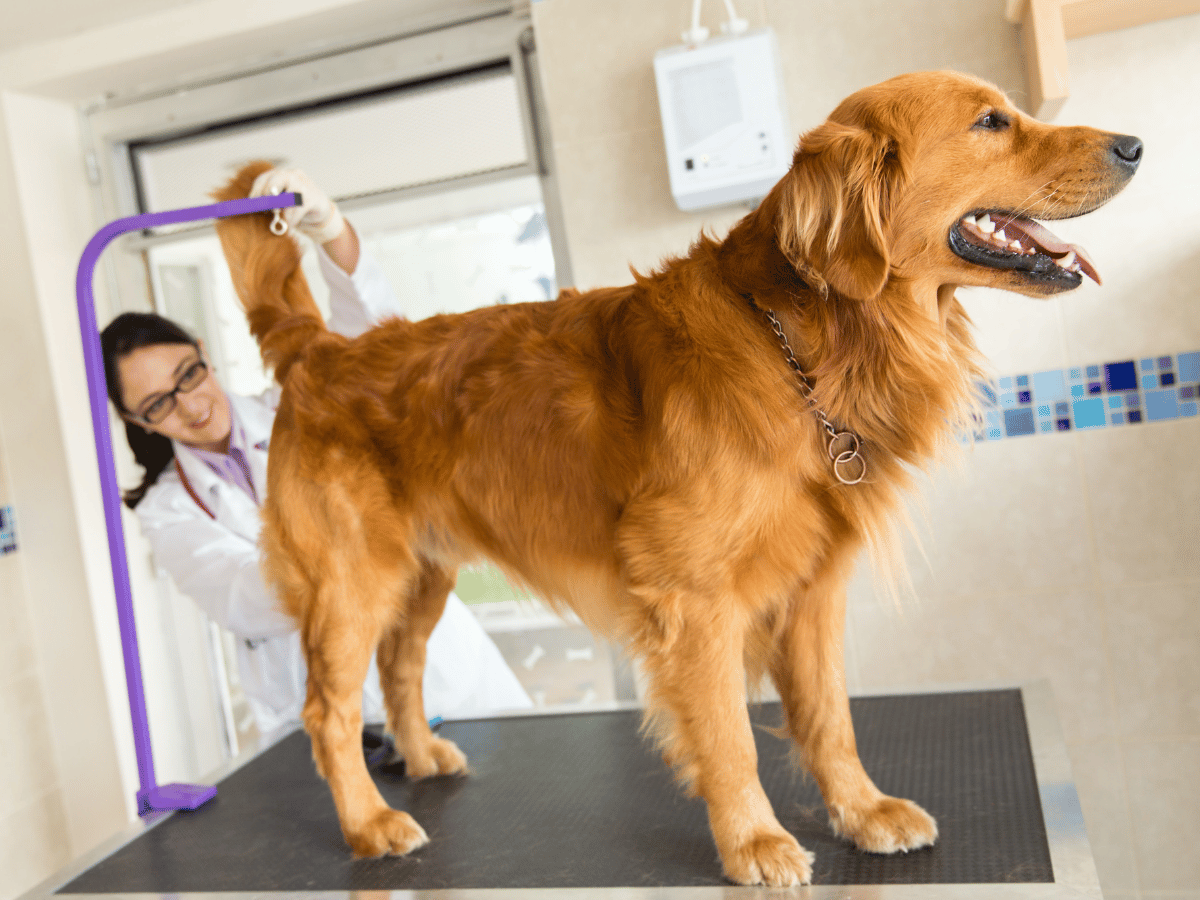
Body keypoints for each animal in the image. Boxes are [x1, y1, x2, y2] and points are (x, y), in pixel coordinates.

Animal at [211, 72, 1137, 888]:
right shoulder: (693, 597)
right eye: (991, 121)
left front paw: (862, 810)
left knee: (400, 669)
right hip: (351, 578)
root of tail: (320, 350)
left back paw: (421, 755)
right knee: (329, 712)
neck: (801, 349)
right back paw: (367, 820)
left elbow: (830, 716)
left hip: (420, 573)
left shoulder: (813, 588)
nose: (1134, 145)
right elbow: (728, 734)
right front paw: (754, 840)